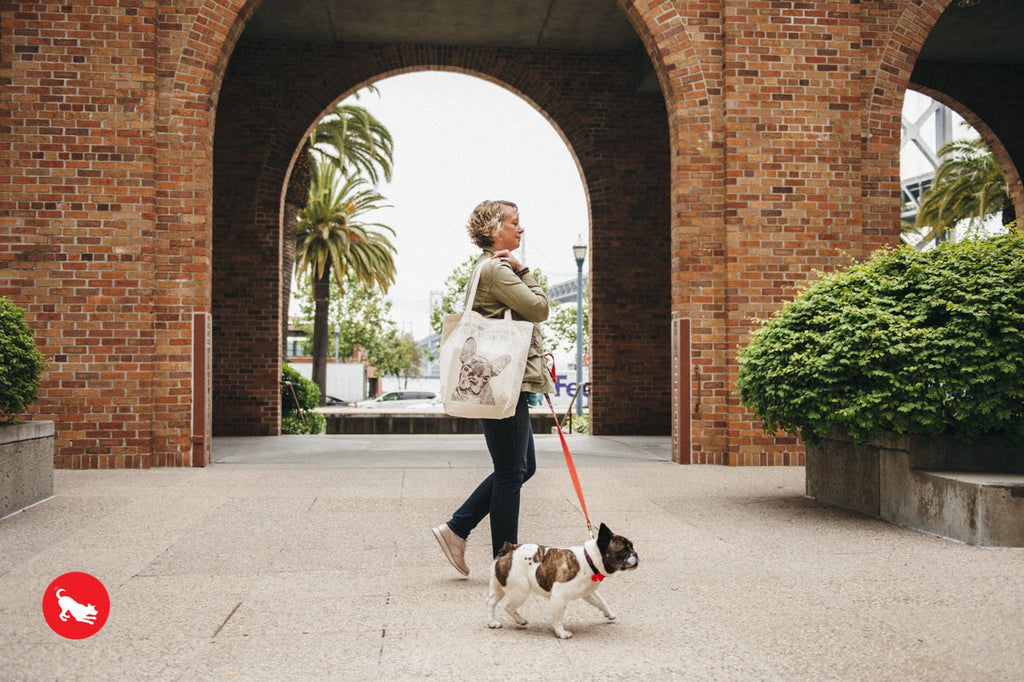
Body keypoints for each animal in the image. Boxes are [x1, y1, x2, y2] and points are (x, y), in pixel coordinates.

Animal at [487, 520, 638, 638]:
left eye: (632, 547)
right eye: (624, 551)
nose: (635, 554)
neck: (590, 559)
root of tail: (510, 549)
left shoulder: (588, 593)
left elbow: (601, 601)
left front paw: (609, 614)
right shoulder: (559, 597)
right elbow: (558, 617)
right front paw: (561, 633)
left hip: (499, 586)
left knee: (491, 602)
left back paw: (493, 622)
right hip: (520, 591)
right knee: (508, 606)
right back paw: (519, 620)